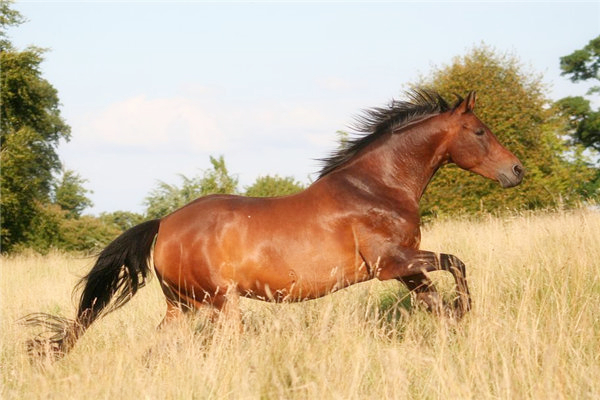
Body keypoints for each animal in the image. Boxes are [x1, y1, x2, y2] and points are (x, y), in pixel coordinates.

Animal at [23, 90, 524, 360]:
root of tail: (164, 225)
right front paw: (466, 311)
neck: (377, 187)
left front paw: (457, 326)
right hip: (221, 304)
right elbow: (457, 263)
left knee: (156, 350)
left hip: (182, 307)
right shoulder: (392, 263)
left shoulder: (406, 270)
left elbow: (438, 301)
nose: (516, 171)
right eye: (480, 132)